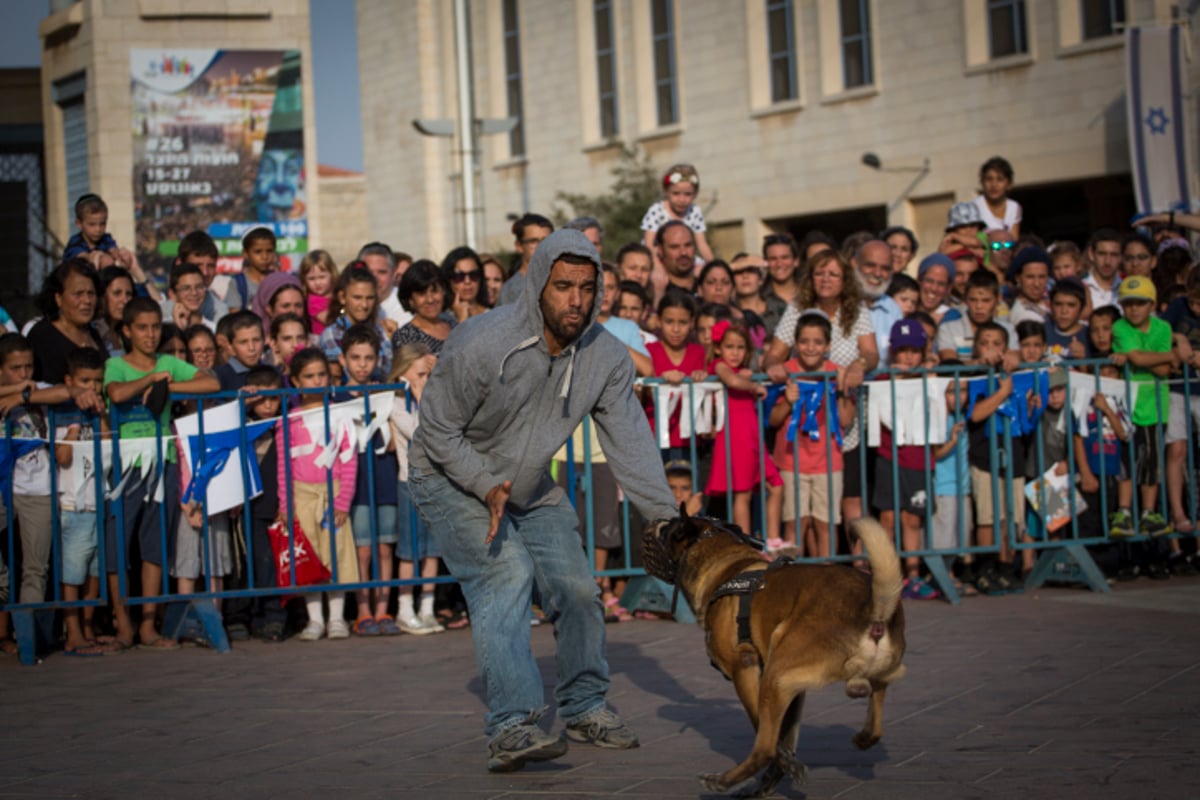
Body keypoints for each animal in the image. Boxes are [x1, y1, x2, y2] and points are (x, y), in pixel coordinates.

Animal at [643, 513, 902, 796]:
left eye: (665, 528)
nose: (648, 525)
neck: (724, 565)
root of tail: (872, 610)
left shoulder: (745, 669)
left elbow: (766, 730)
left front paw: (782, 767)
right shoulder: (794, 688)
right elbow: (786, 737)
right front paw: (781, 770)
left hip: (774, 677)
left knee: (763, 749)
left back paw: (722, 781)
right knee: (876, 720)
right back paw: (862, 737)